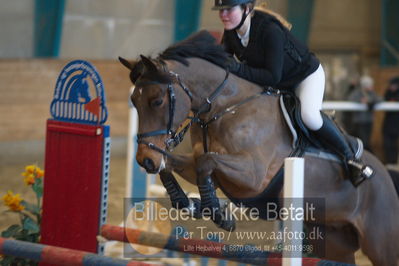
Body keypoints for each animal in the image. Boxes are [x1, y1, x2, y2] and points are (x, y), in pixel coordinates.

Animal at [120, 30, 399, 264]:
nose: (144, 159)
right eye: (134, 99)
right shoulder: (205, 167)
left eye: (157, 101)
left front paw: (219, 214)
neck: (225, 108)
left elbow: (206, 163)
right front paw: (188, 203)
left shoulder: (253, 176)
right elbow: (177, 165)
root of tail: (386, 176)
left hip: (381, 245)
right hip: (334, 240)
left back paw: (357, 167)